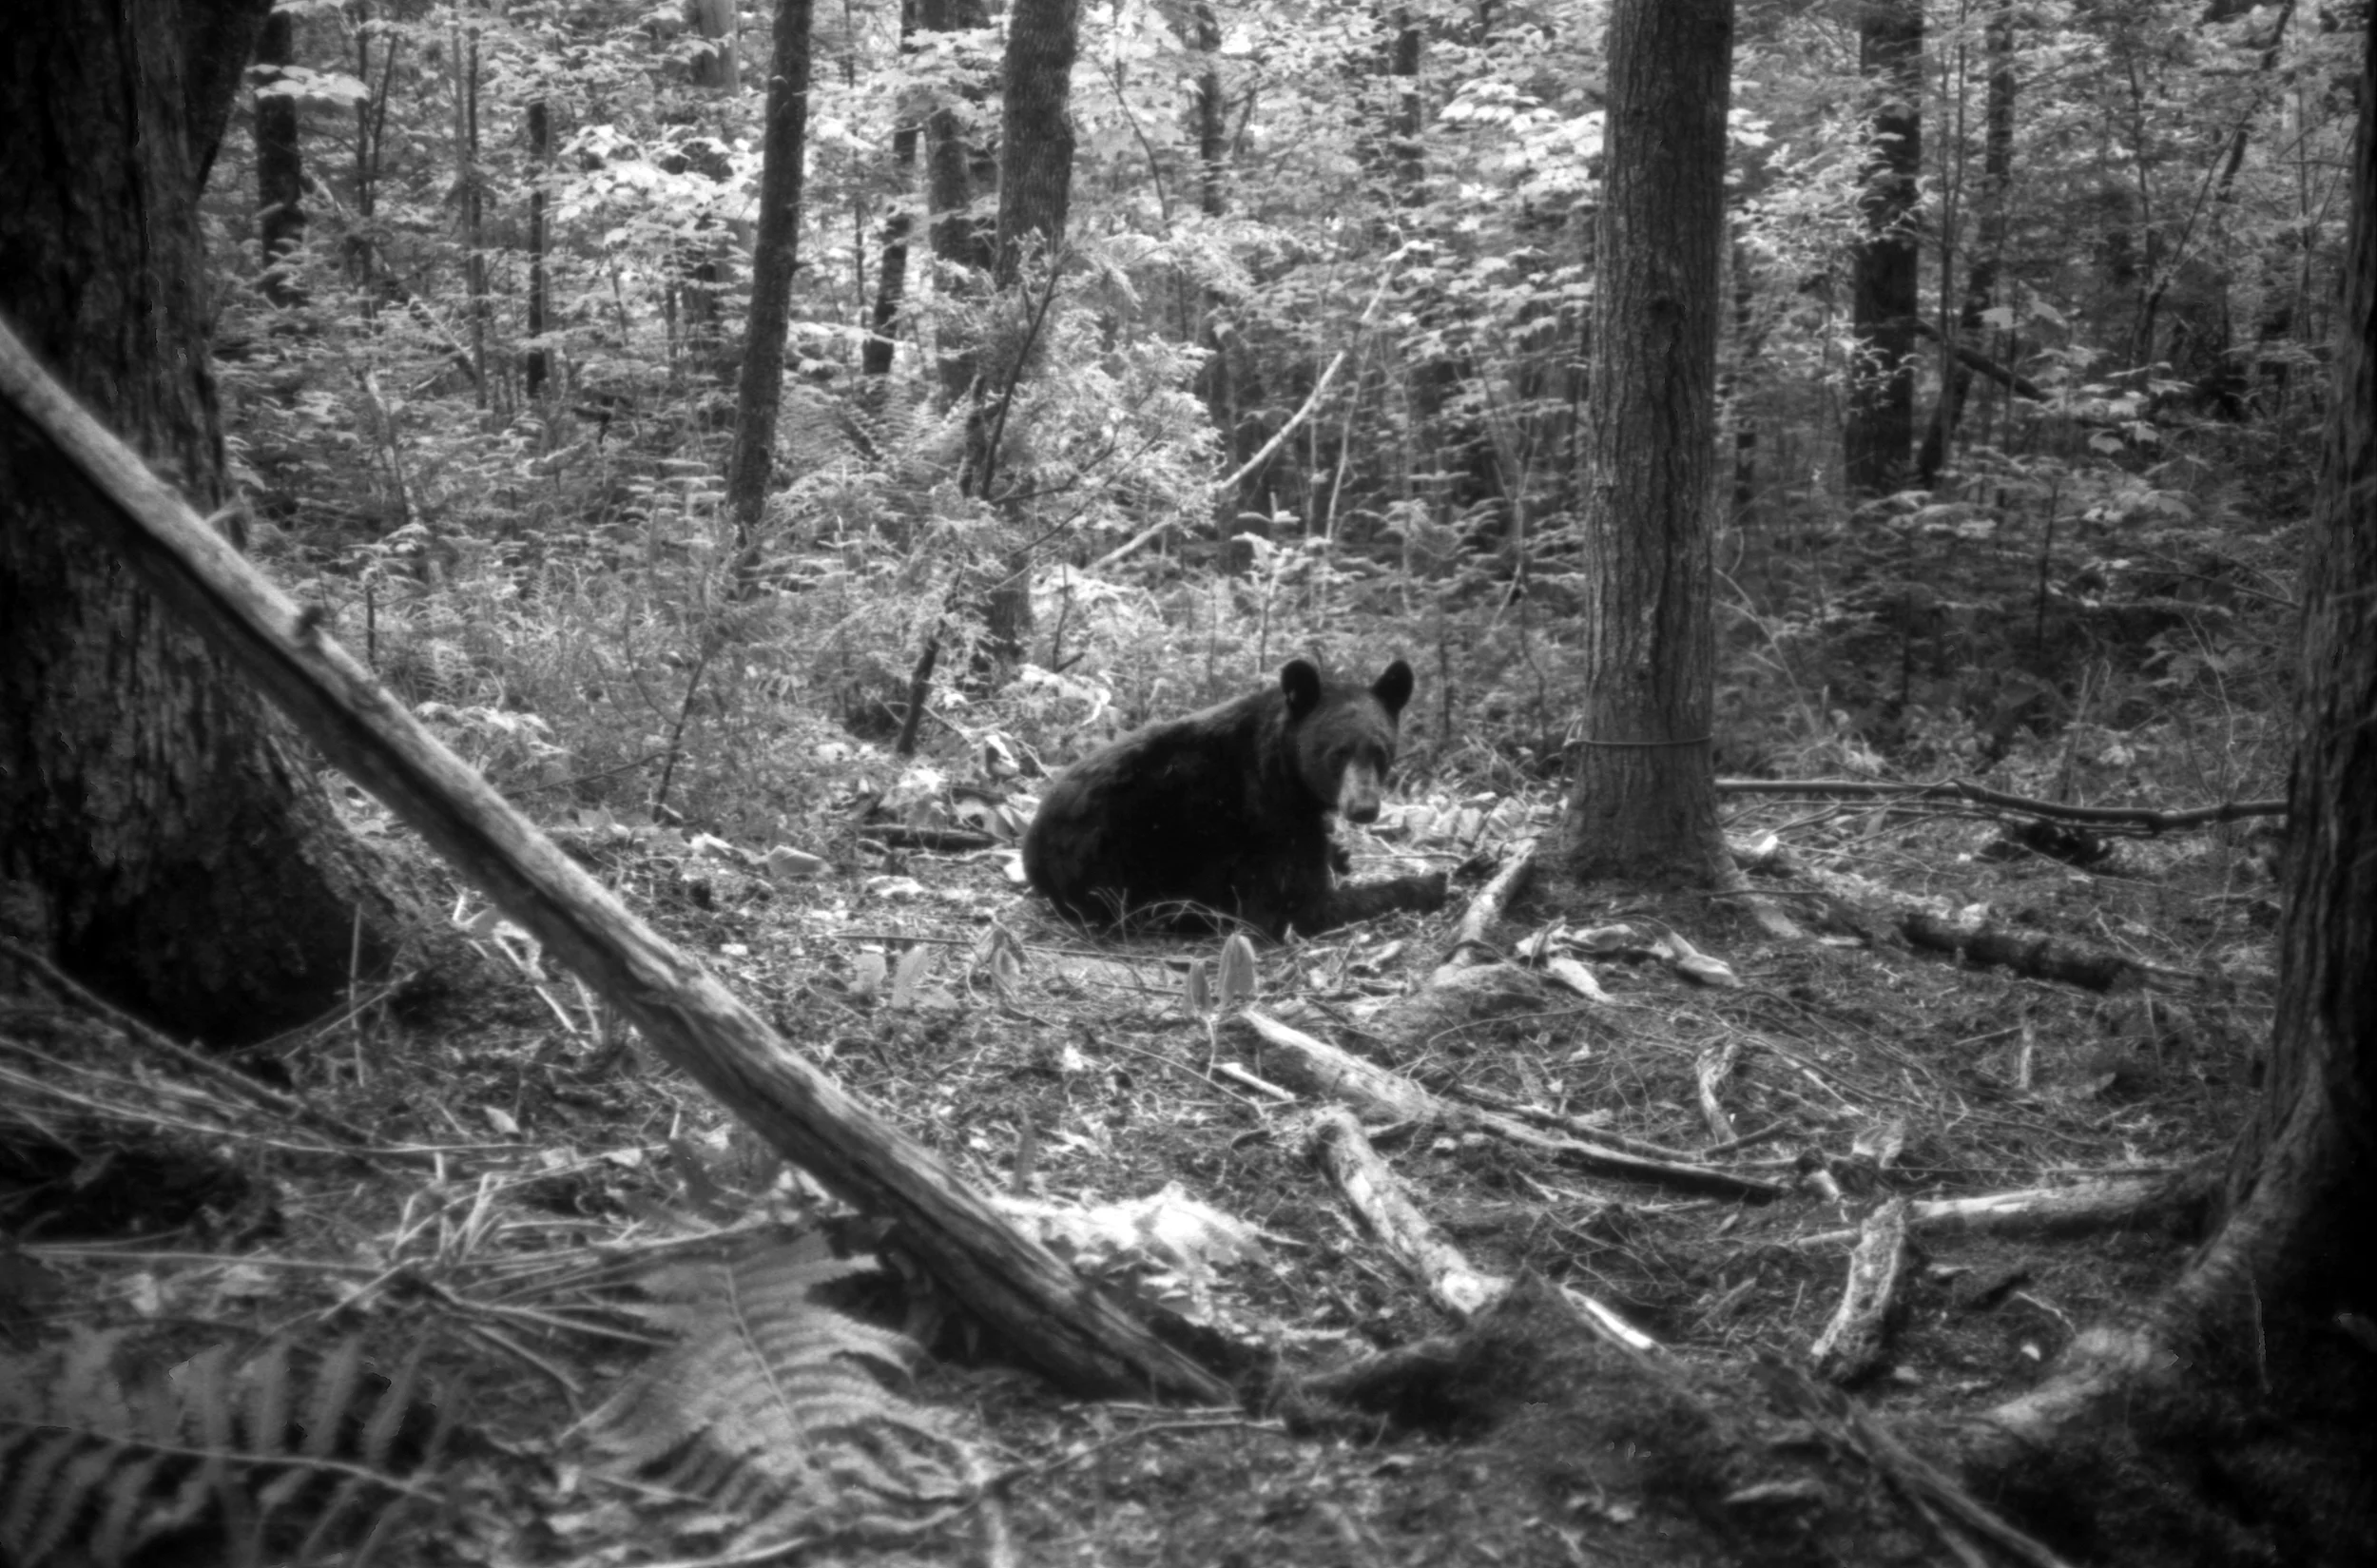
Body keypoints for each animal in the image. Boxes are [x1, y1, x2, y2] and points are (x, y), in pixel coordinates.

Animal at [1021, 658, 1445, 938]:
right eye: (1337, 754)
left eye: (1380, 752)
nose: (1364, 808)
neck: (1284, 770)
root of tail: (1033, 850)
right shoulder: (1266, 819)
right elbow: (1297, 905)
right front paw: (1430, 883)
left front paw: (1339, 853)